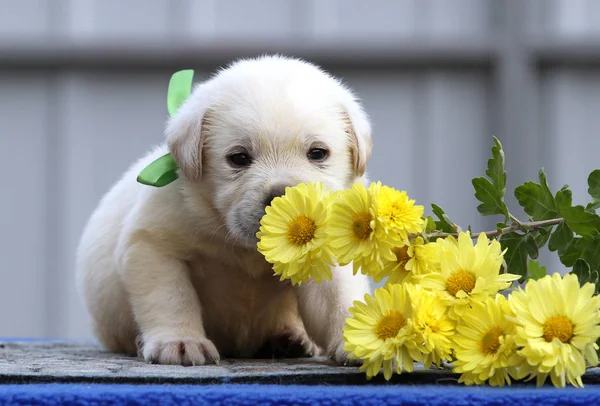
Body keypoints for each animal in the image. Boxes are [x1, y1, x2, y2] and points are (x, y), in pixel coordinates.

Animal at [76, 55, 370, 366]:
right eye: (239, 158)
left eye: (317, 153)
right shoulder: (153, 248)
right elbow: (172, 298)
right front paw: (180, 341)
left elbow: (338, 299)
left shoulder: (325, 256)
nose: (280, 198)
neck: (249, 250)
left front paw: (357, 342)